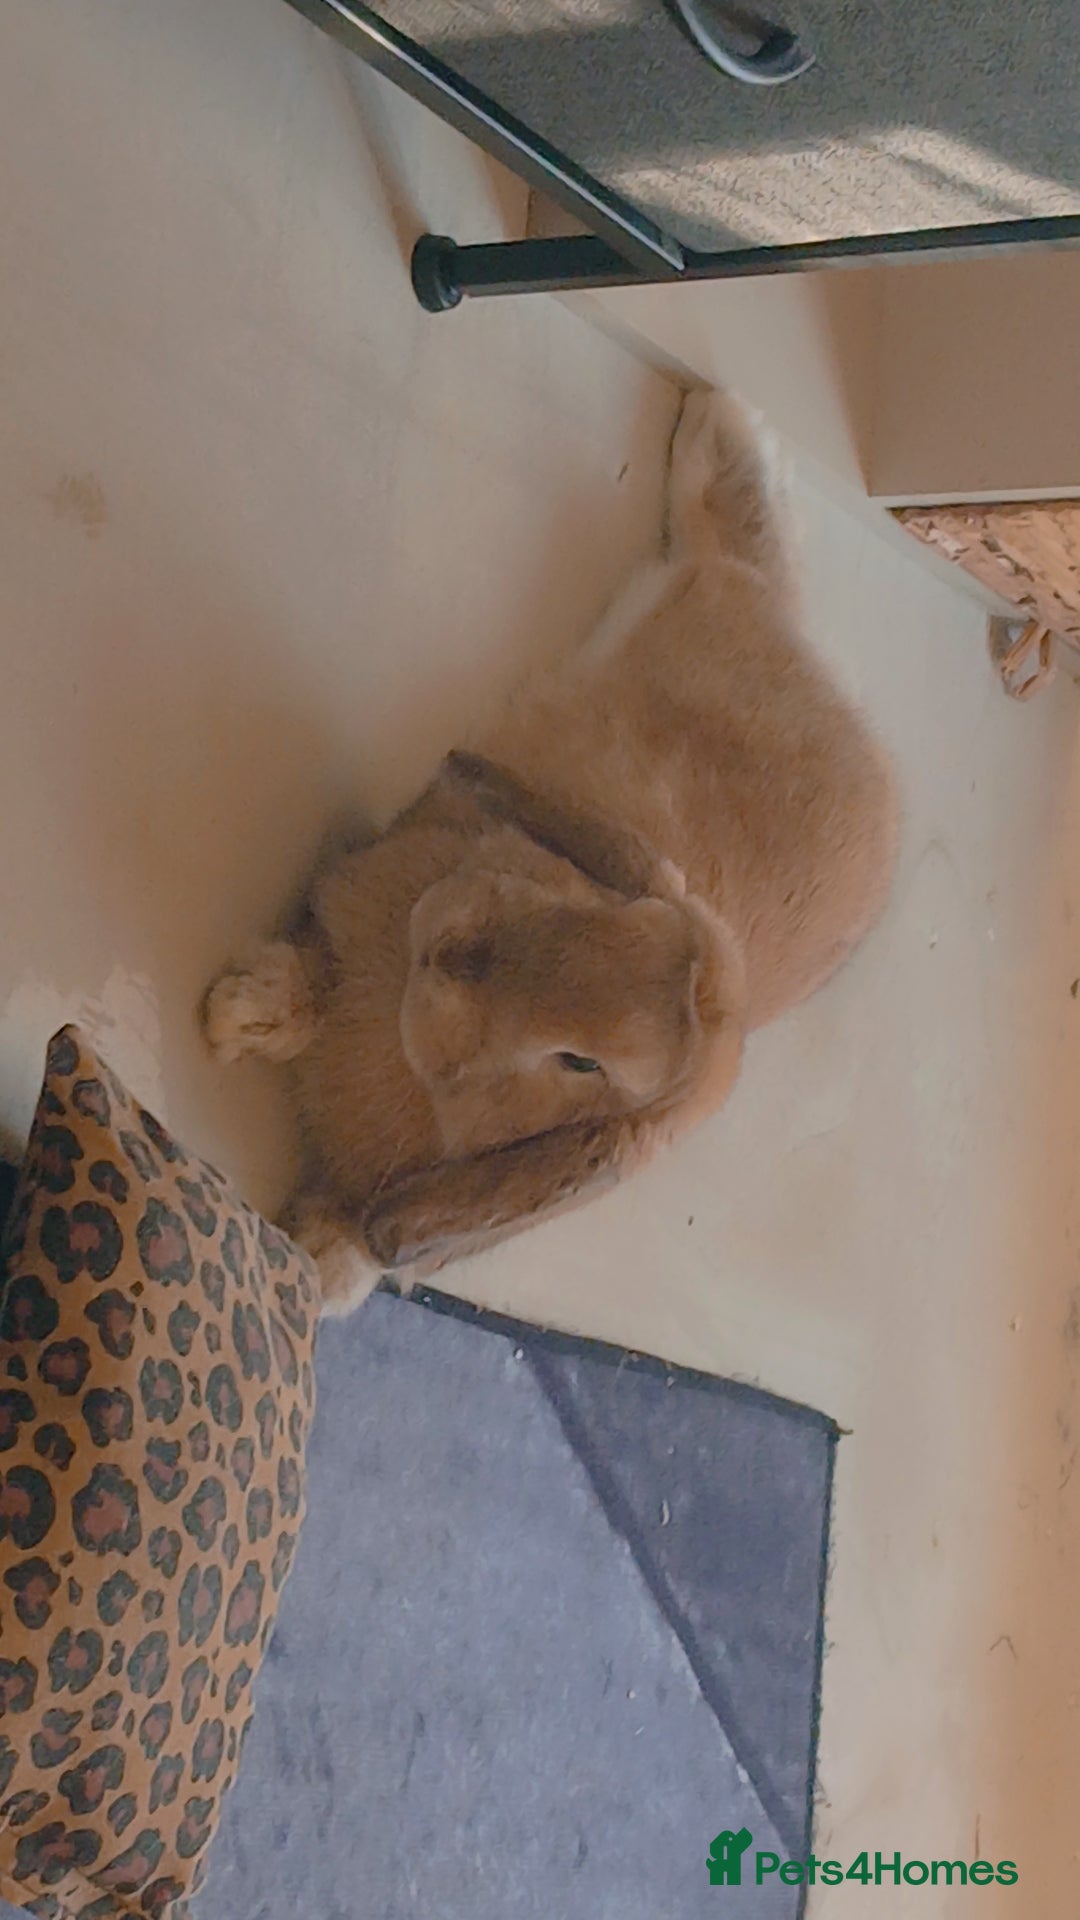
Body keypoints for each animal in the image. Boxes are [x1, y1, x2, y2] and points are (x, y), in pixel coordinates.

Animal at [202, 389, 897, 1311]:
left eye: (582, 1065)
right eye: (623, 905)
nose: (452, 951)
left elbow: (355, 1246)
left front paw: (313, 1271)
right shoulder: (348, 897)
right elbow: (307, 978)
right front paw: (236, 1015)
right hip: (694, 587)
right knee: (724, 524)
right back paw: (718, 418)